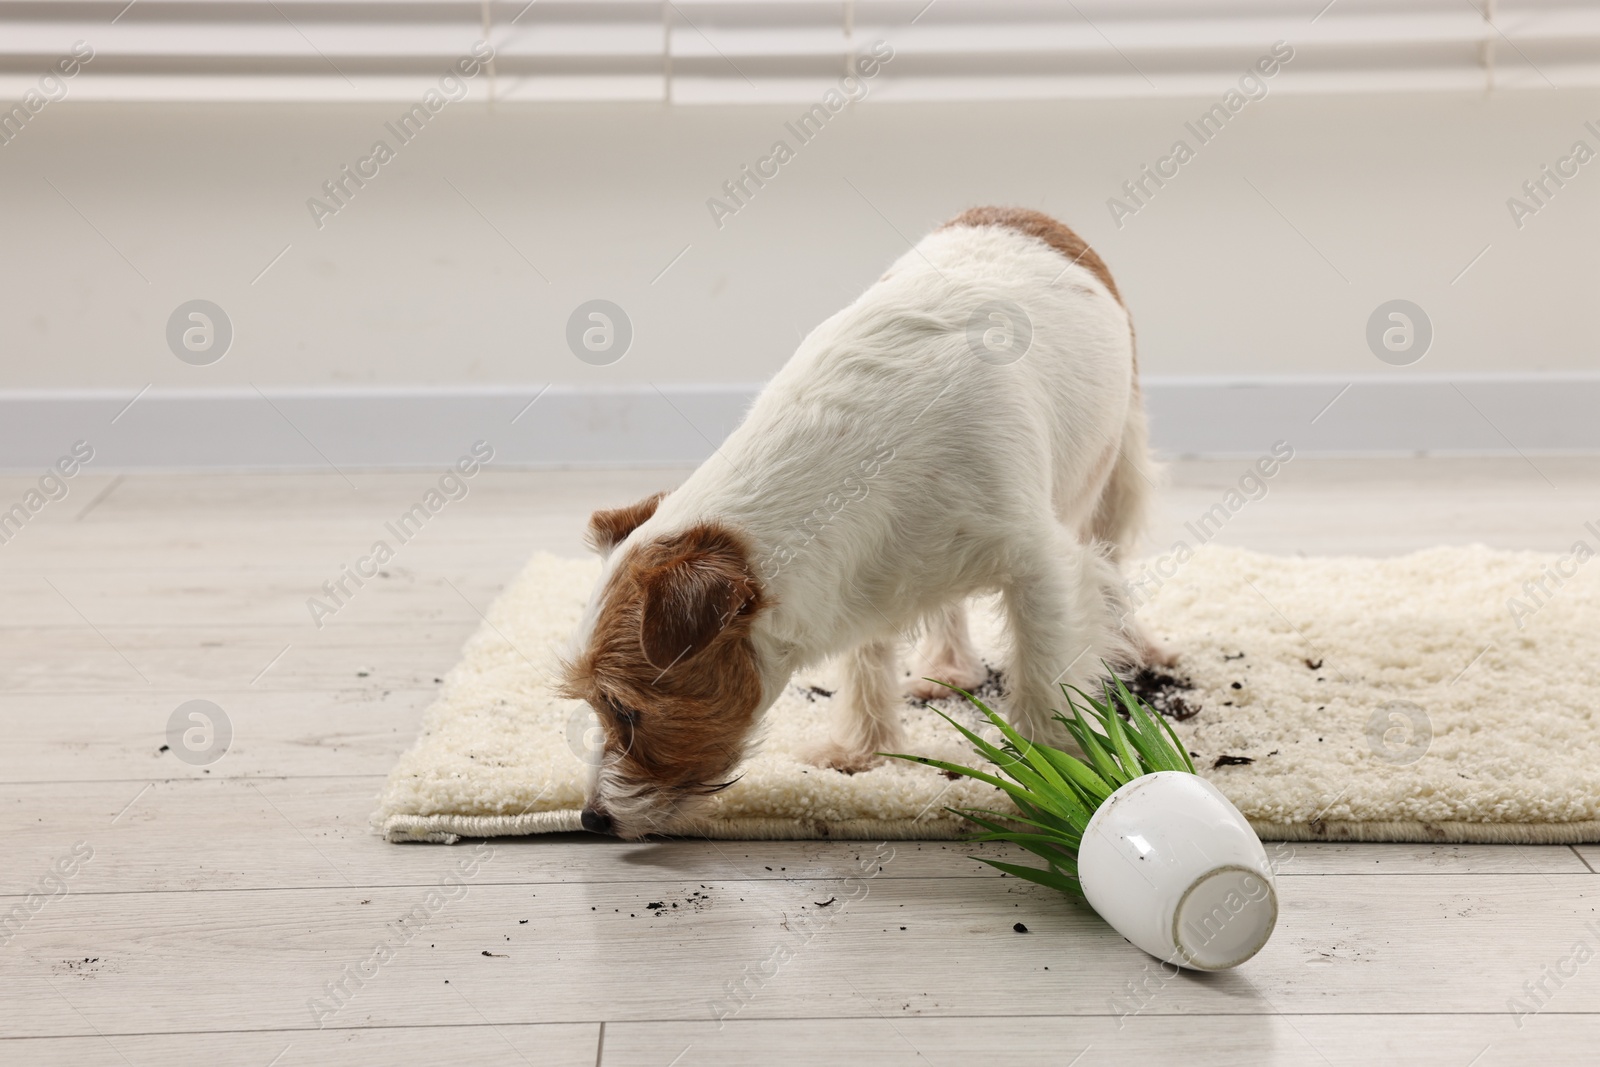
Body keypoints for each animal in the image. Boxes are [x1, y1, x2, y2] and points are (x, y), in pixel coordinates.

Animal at [563, 206, 1164, 844]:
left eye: (623, 709)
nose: (591, 819)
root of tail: (1019, 210)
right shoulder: (863, 567)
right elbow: (867, 659)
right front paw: (862, 751)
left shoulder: (1042, 572)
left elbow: (1045, 679)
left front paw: (1053, 785)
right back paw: (945, 667)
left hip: (1119, 468)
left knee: (1118, 555)